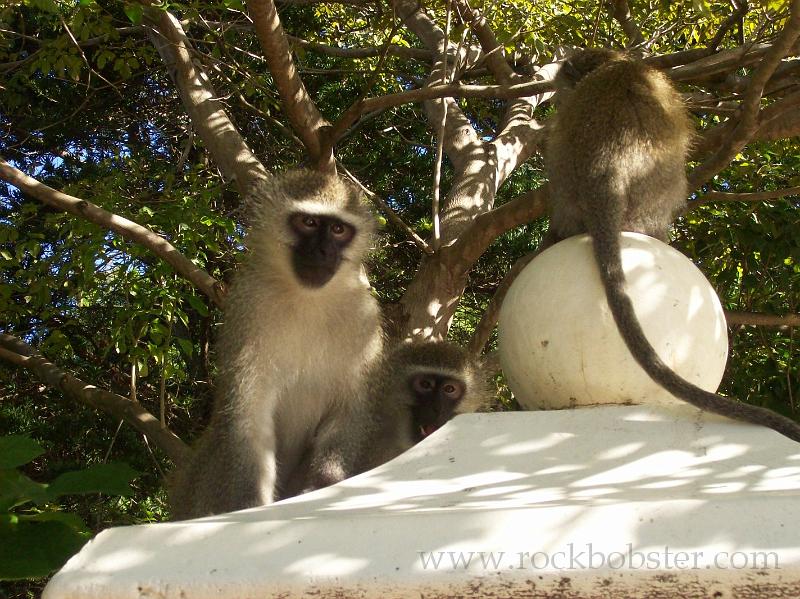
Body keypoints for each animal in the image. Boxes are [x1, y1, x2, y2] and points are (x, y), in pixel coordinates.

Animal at [169, 170, 384, 520]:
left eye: (338, 230)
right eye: (308, 222)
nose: (323, 252)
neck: (307, 299)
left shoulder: (363, 316)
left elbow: (346, 414)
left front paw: (320, 488)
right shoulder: (249, 307)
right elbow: (249, 418)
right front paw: (250, 510)